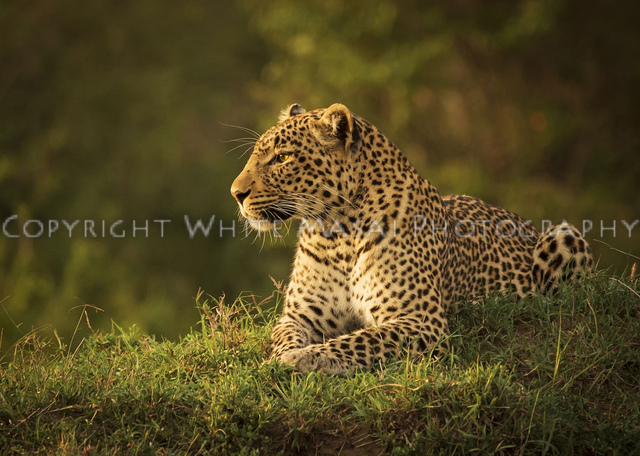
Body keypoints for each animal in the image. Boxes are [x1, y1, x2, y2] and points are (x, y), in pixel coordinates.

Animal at [230, 103, 593, 375]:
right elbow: (283, 336)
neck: (336, 232)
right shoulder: (299, 316)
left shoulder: (419, 319)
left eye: (283, 158)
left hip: (563, 234)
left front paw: (305, 357)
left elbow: (359, 340)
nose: (236, 193)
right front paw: (280, 358)